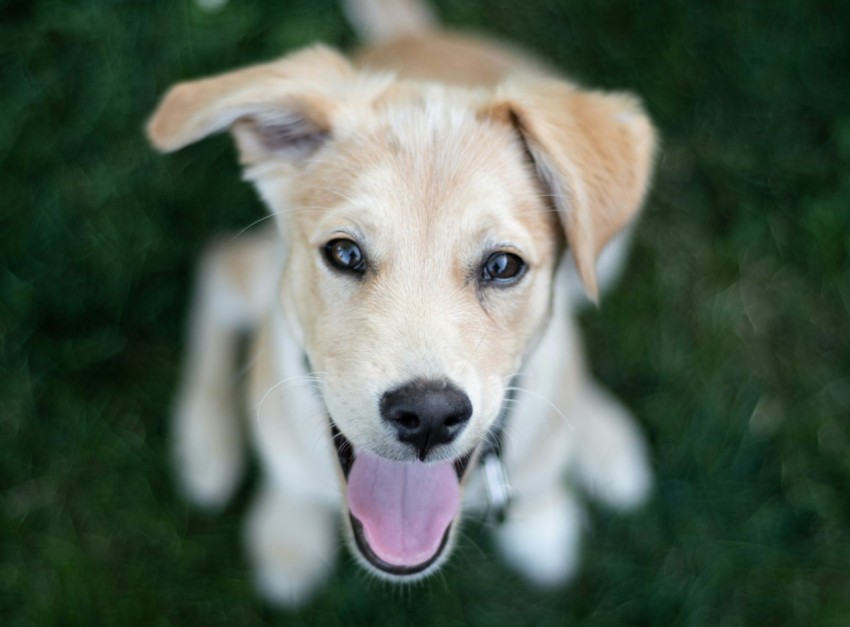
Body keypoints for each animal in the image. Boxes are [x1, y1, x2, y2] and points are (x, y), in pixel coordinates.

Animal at [146, 0, 656, 608]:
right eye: (344, 252)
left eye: (503, 266)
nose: (429, 416)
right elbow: (289, 478)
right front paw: (287, 532)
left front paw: (543, 519)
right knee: (219, 265)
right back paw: (205, 439)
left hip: (609, 250)